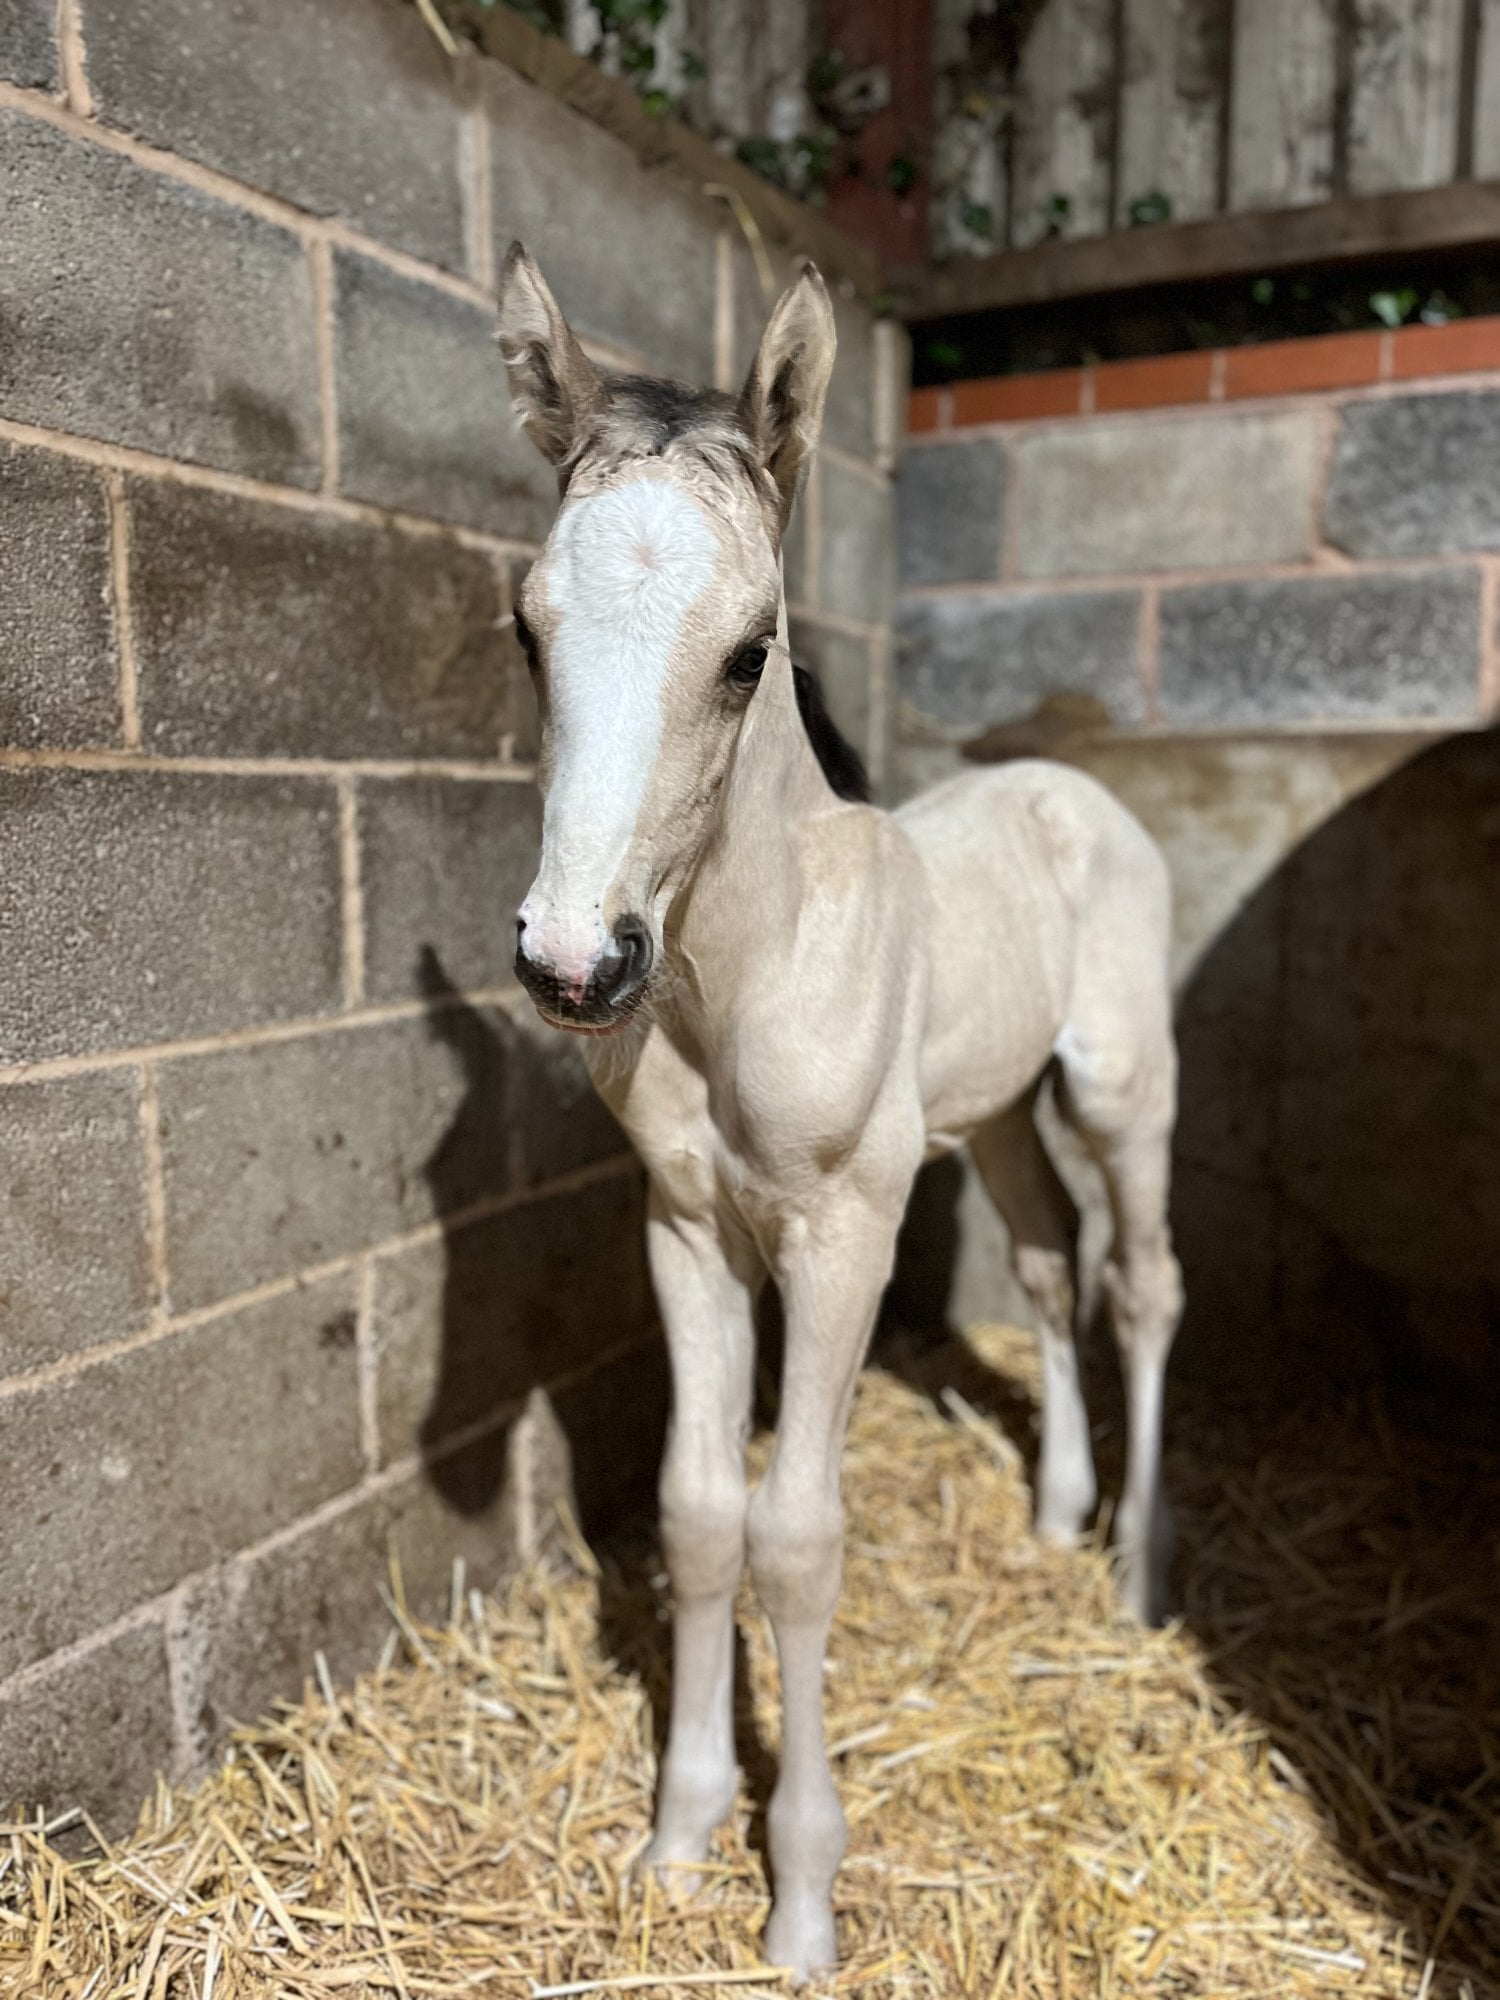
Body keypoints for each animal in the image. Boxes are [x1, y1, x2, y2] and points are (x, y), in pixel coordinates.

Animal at [495, 242, 1184, 1979]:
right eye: (526, 631)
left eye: (752, 651)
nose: (576, 961)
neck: (737, 971)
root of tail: (1072, 790)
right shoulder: (686, 1229)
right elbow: (696, 1514)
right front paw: (677, 1837)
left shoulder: (842, 1237)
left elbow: (798, 1536)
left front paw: (800, 1897)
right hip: (995, 1115)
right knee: (1048, 1261)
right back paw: (1060, 1518)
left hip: (1121, 1087)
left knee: (1145, 1280)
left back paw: (1143, 1574)